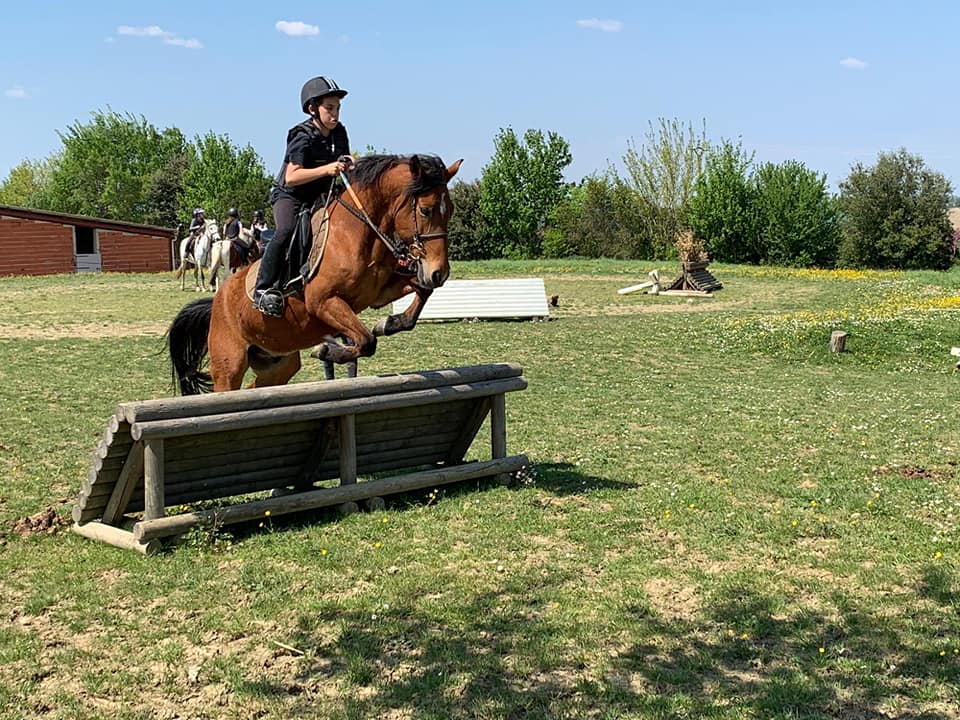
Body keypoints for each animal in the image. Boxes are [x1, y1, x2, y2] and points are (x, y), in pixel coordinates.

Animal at [168, 153, 462, 396]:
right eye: (425, 210)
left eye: (451, 211)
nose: (439, 272)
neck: (359, 230)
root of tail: (217, 303)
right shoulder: (322, 301)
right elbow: (366, 341)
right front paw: (327, 349)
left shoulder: (378, 293)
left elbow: (421, 293)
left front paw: (389, 323)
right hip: (229, 365)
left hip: (277, 363)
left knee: (258, 387)